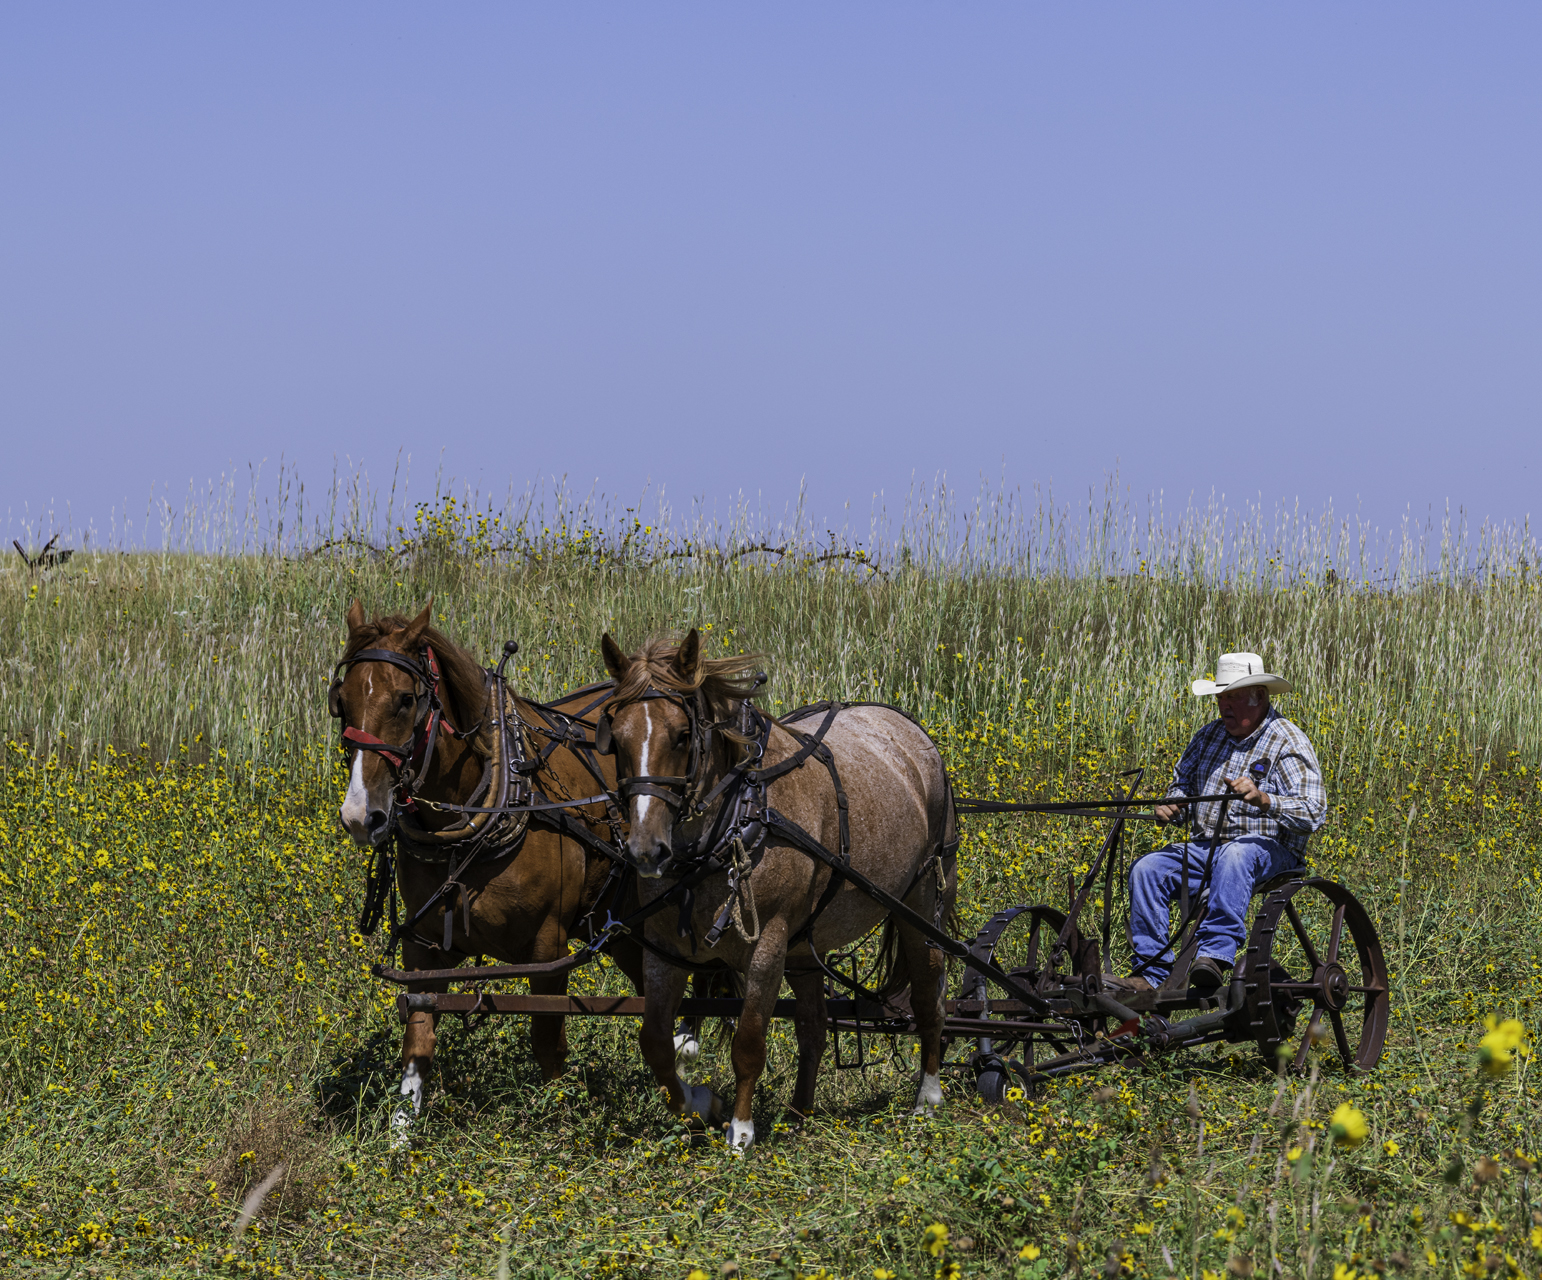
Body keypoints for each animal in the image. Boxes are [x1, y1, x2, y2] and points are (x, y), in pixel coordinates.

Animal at [331, 601, 638, 1135]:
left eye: (406, 700)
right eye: (342, 702)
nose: (359, 815)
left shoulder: (549, 951)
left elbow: (549, 1046)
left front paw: (559, 1129)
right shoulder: (423, 948)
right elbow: (418, 1041)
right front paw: (398, 1138)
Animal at [598, 632, 949, 1153]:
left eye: (682, 735)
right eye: (616, 738)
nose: (646, 850)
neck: (739, 817)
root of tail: (911, 734)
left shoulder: (768, 945)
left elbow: (748, 1041)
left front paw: (740, 1130)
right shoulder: (665, 950)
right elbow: (657, 1041)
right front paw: (699, 1103)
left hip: (918, 900)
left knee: (928, 992)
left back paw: (926, 1098)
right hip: (804, 944)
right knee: (813, 1026)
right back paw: (799, 1112)